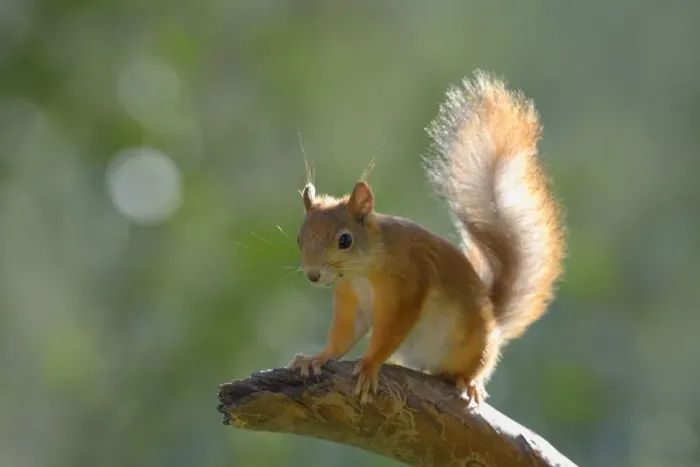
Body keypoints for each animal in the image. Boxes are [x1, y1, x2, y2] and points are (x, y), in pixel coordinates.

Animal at [289, 70, 566, 406]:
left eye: (345, 240)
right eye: (299, 238)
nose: (313, 275)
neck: (362, 272)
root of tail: (495, 322)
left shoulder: (407, 285)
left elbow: (390, 332)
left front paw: (368, 366)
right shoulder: (350, 299)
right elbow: (343, 336)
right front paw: (315, 358)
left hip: (475, 346)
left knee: (477, 367)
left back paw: (469, 382)